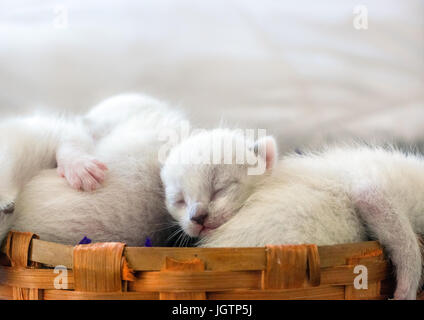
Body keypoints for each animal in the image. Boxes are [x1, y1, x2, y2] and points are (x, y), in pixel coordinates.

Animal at [161, 129, 424, 298]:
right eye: (179, 201)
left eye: (220, 189)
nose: (197, 217)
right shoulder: (373, 188)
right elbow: (403, 239)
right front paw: (407, 288)